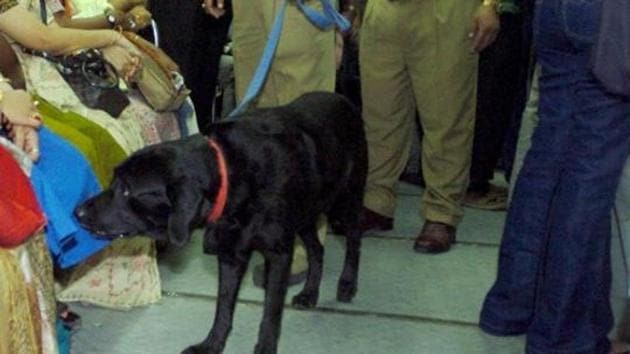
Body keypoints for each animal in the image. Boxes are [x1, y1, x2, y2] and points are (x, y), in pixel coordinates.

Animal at [76, 92, 368, 354]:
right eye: (114, 180)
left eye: (127, 191)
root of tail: (345, 100)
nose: (77, 212)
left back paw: (347, 284)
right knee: (317, 250)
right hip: (306, 213)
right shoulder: (230, 254)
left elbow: (271, 314)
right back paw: (310, 293)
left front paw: (264, 348)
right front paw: (212, 344)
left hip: (344, 201)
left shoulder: (279, 255)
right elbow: (223, 307)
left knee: (354, 238)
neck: (230, 172)